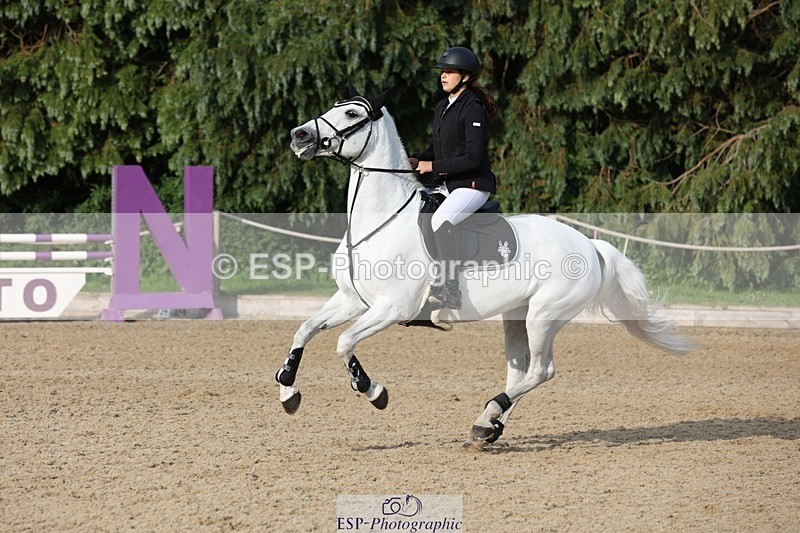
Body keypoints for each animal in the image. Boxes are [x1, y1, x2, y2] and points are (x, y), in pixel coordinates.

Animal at [279, 84, 697, 445]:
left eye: (351, 113)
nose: (299, 135)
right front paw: (287, 390)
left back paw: (490, 415)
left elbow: (344, 342)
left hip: (545, 315)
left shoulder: (392, 308)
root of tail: (590, 245)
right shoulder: (352, 300)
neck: (381, 221)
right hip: (516, 315)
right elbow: (305, 329)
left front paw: (373, 391)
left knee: (540, 370)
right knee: (520, 369)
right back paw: (488, 425)